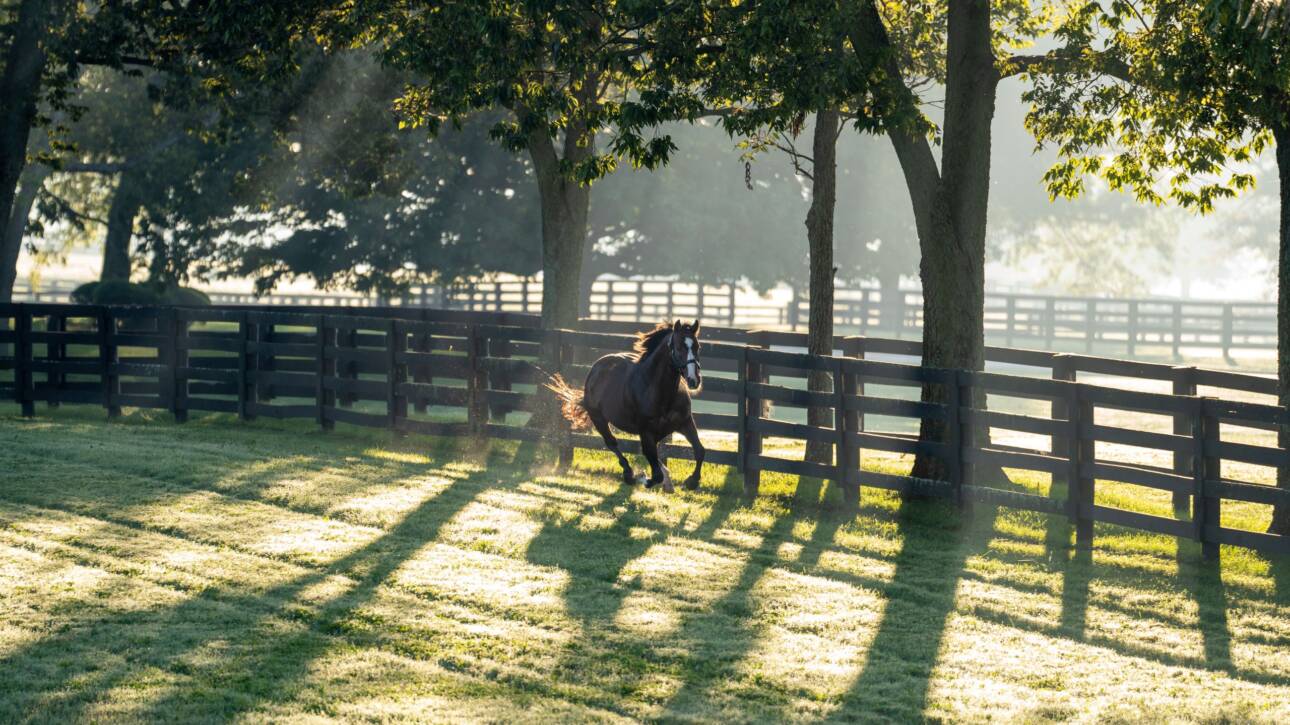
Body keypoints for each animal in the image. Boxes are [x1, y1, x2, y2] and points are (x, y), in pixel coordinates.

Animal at [544, 317, 706, 490]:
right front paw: (643, 478)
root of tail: (596, 368)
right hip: (598, 418)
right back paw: (629, 474)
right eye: (679, 347)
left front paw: (692, 481)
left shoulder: (685, 422)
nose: (694, 380)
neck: (659, 391)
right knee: (612, 443)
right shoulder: (646, 432)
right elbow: (656, 474)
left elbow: (699, 451)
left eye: (697, 346)